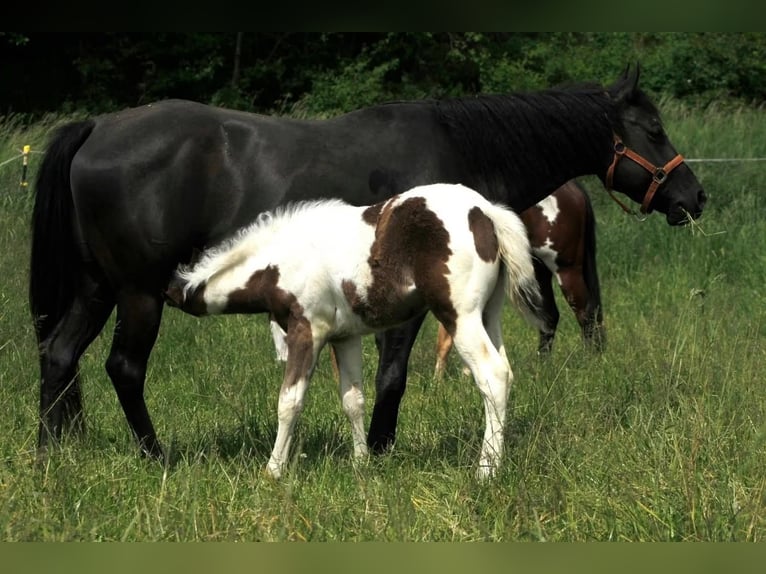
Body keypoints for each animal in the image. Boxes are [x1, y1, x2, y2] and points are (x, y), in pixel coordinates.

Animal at [163, 183, 547, 479]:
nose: (166, 295)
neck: (282, 260)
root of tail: (487, 212)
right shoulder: (344, 337)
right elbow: (353, 400)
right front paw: (361, 463)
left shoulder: (308, 331)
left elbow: (289, 401)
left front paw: (273, 470)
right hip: (489, 314)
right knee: (505, 371)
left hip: (461, 316)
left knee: (492, 375)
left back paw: (486, 472)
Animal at [434, 178, 604, 378]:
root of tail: (573, 188)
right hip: (539, 271)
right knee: (551, 317)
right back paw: (542, 366)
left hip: (566, 270)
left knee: (586, 313)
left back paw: (590, 361)